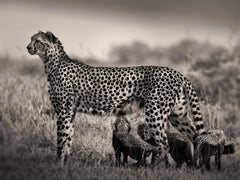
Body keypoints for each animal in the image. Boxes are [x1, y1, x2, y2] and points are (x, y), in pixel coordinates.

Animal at [26, 30, 206, 165]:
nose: (28, 47)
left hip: (155, 113)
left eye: (38, 41)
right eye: (31, 39)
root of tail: (176, 72)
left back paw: (155, 167)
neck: (53, 63)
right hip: (178, 115)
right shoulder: (70, 112)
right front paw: (66, 163)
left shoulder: (63, 112)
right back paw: (197, 167)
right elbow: (68, 139)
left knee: (164, 144)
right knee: (197, 138)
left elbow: (61, 139)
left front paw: (58, 164)